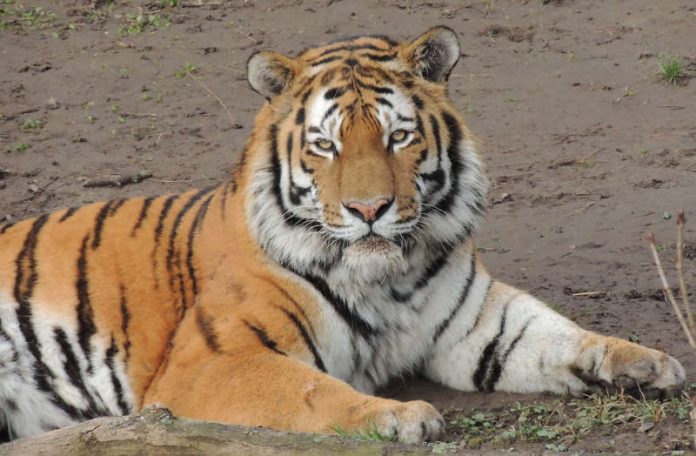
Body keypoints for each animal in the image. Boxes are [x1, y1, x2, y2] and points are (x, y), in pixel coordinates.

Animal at [0, 25, 684, 442]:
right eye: (325, 145)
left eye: (398, 136)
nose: (369, 208)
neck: (389, 277)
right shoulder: (214, 361)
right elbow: (309, 391)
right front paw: (401, 417)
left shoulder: (476, 323)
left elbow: (557, 332)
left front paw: (646, 361)